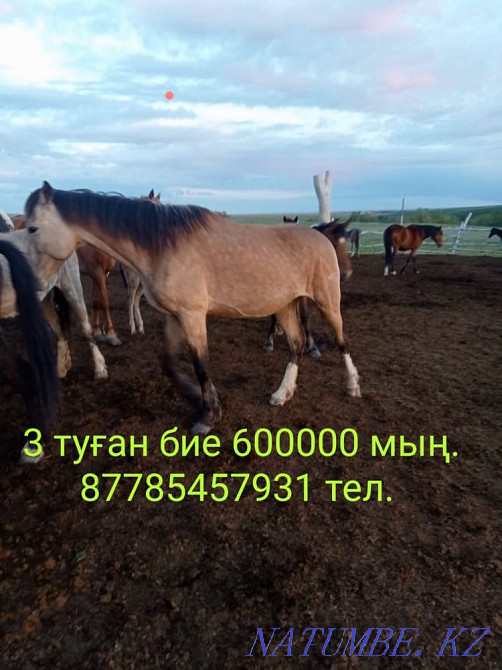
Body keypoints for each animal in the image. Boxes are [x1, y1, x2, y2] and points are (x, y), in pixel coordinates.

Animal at [25, 182, 361, 433]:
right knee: (296, 345)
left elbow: (201, 363)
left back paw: (352, 386)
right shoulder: (175, 317)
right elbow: (170, 363)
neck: (161, 245)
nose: (32, 283)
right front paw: (194, 396)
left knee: (342, 341)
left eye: (31, 229)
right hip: (284, 306)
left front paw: (208, 415)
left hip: (327, 302)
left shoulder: (193, 315)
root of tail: (319, 237)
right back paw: (282, 393)